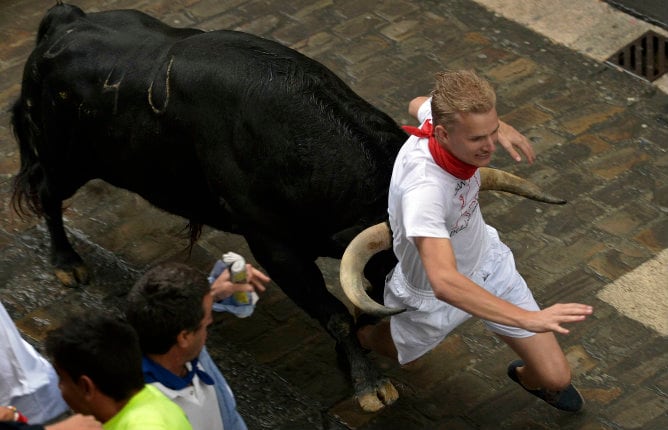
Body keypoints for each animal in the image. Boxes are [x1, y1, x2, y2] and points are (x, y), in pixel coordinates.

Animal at [10, 4, 560, 414]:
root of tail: (64, 21)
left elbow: (351, 305)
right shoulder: (275, 246)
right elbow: (335, 312)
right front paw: (369, 384)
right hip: (64, 159)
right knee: (47, 194)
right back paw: (67, 264)